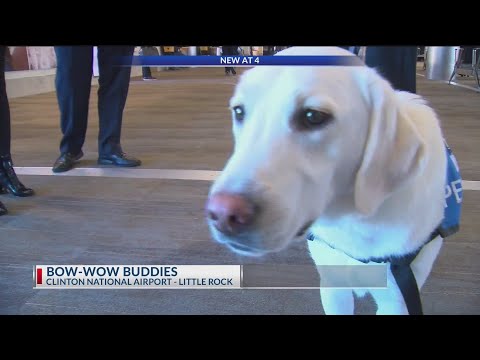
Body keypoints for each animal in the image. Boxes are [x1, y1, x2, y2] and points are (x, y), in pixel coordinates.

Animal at [205, 46, 458, 314]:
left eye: (313, 116)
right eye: (239, 111)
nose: (222, 214)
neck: (355, 223)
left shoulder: (397, 299)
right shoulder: (332, 287)